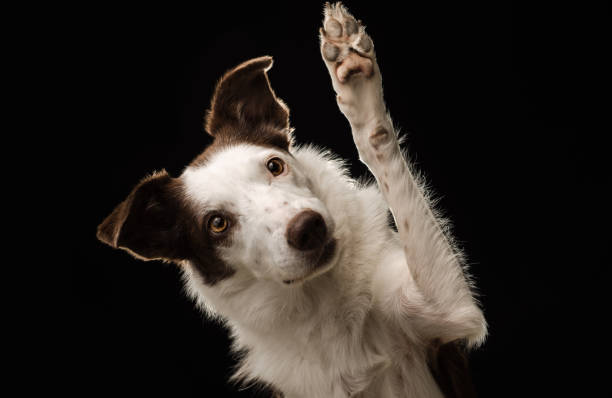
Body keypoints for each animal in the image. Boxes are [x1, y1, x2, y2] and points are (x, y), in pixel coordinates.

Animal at [97, 3, 488, 398]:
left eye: (275, 165)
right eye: (217, 223)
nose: (308, 228)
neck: (320, 297)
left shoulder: (446, 310)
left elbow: (379, 143)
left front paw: (354, 81)